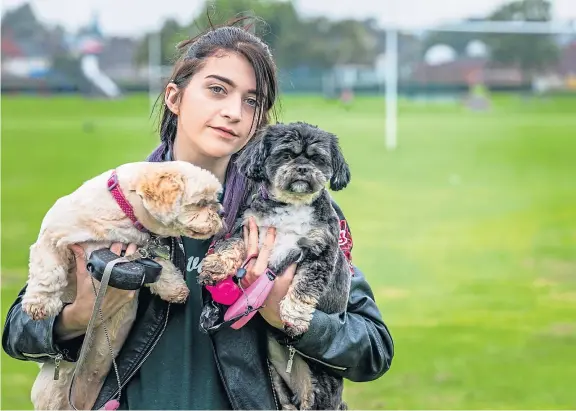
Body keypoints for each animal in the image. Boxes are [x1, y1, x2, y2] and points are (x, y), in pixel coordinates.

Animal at [20, 161, 224, 411]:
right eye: (201, 202)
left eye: (215, 199)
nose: (221, 212)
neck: (123, 214)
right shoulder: (53, 238)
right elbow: (48, 271)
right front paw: (39, 304)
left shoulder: (141, 248)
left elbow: (162, 267)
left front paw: (175, 288)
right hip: (51, 393)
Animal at [198, 121, 352, 408]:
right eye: (286, 154)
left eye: (317, 159)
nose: (302, 168)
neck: (292, 206)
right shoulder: (247, 228)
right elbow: (230, 246)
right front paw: (216, 266)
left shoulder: (320, 251)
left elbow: (304, 287)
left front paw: (294, 315)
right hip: (279, 385)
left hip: (319, 389)